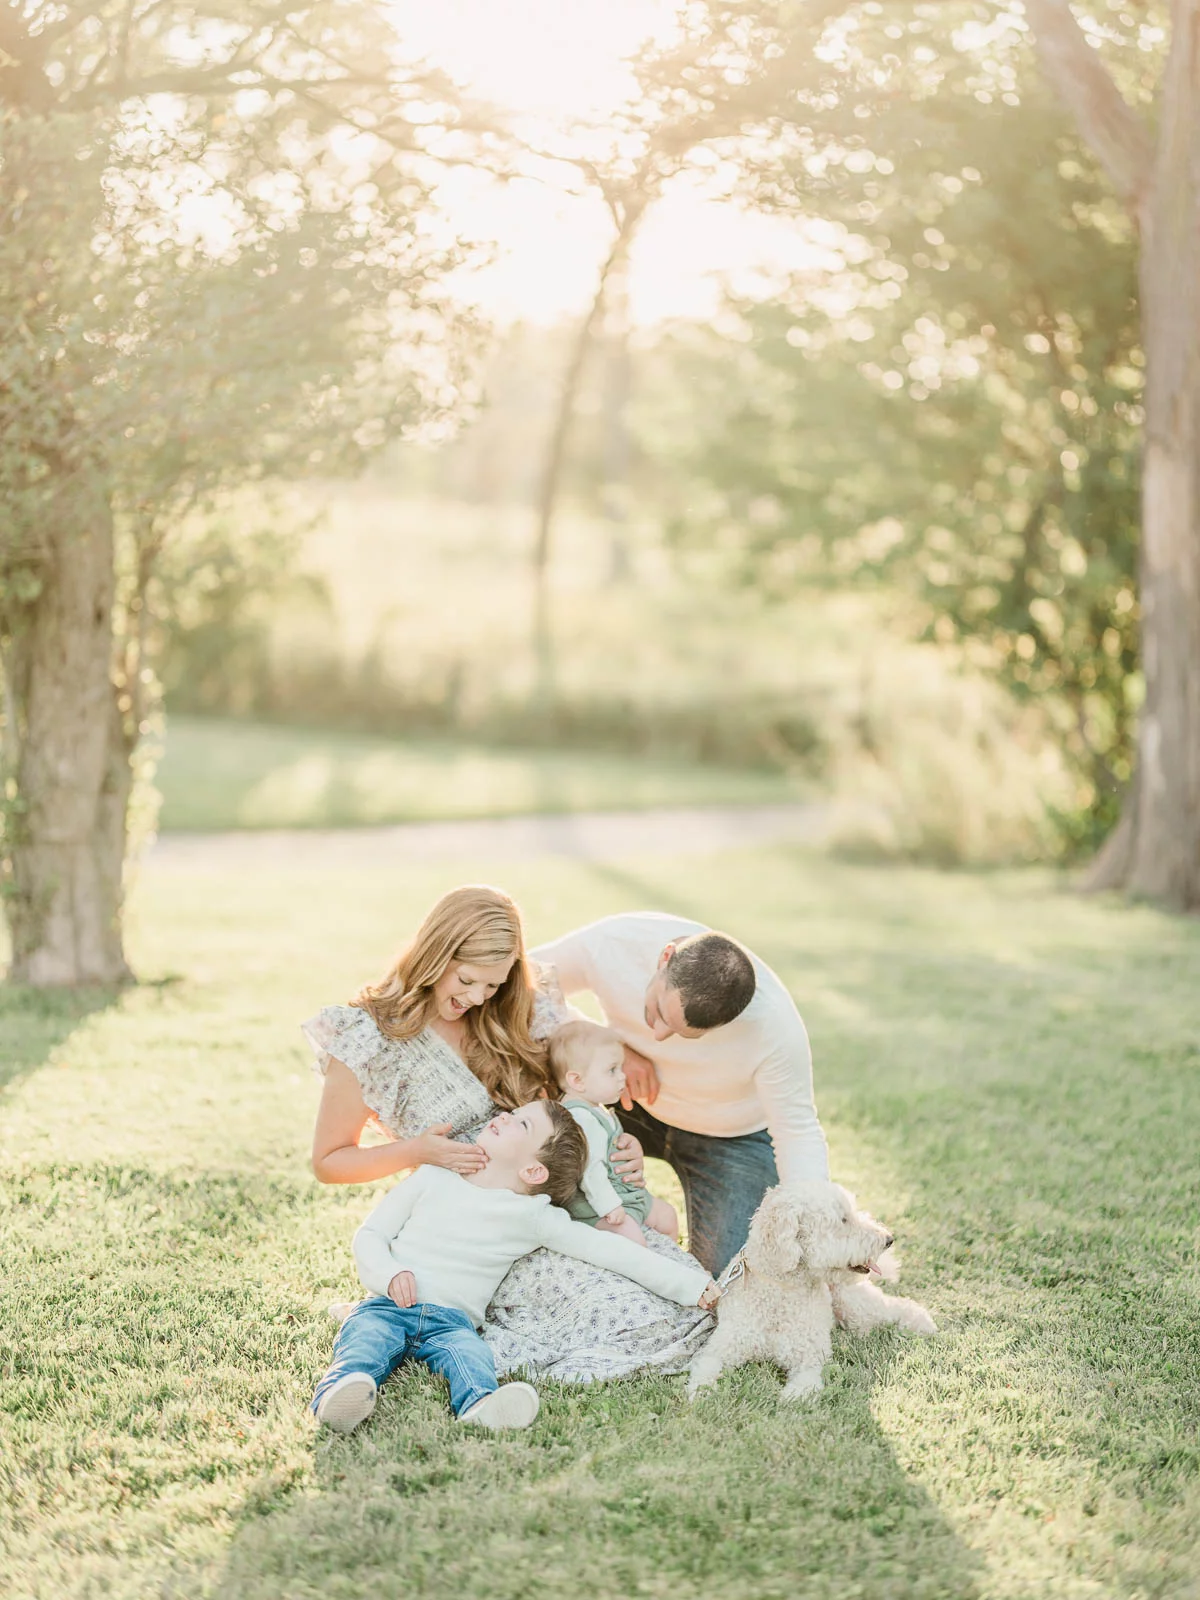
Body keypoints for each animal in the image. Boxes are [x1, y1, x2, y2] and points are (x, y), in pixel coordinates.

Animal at [691, 1177, 934, 1401]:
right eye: (844, 1219)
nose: (888, 1239)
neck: (781, 1290)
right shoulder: (721, 1347)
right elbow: (704, 1367)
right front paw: (701, 1392)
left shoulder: (810, 1357)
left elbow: (804, 1386)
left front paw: (792, 1398)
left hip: (852, 1303)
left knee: (895, 1306)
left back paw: (923, 1323)